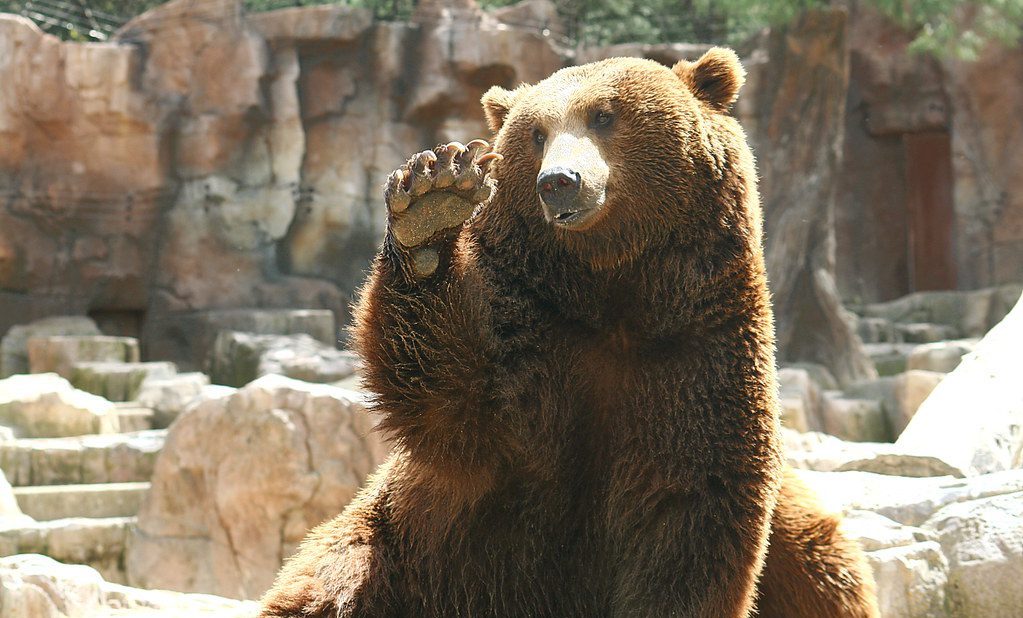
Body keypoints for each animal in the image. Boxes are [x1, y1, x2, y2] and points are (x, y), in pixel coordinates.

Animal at [259, 49, 875, 618]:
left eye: (604, 115)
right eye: (535, 132)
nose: (559, 182)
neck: (613, 296)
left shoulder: (695, 361)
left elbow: (688, 526)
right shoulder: (529, 353)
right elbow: (449, 394)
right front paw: (431, 203)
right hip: (391, 553)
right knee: (328, 586)